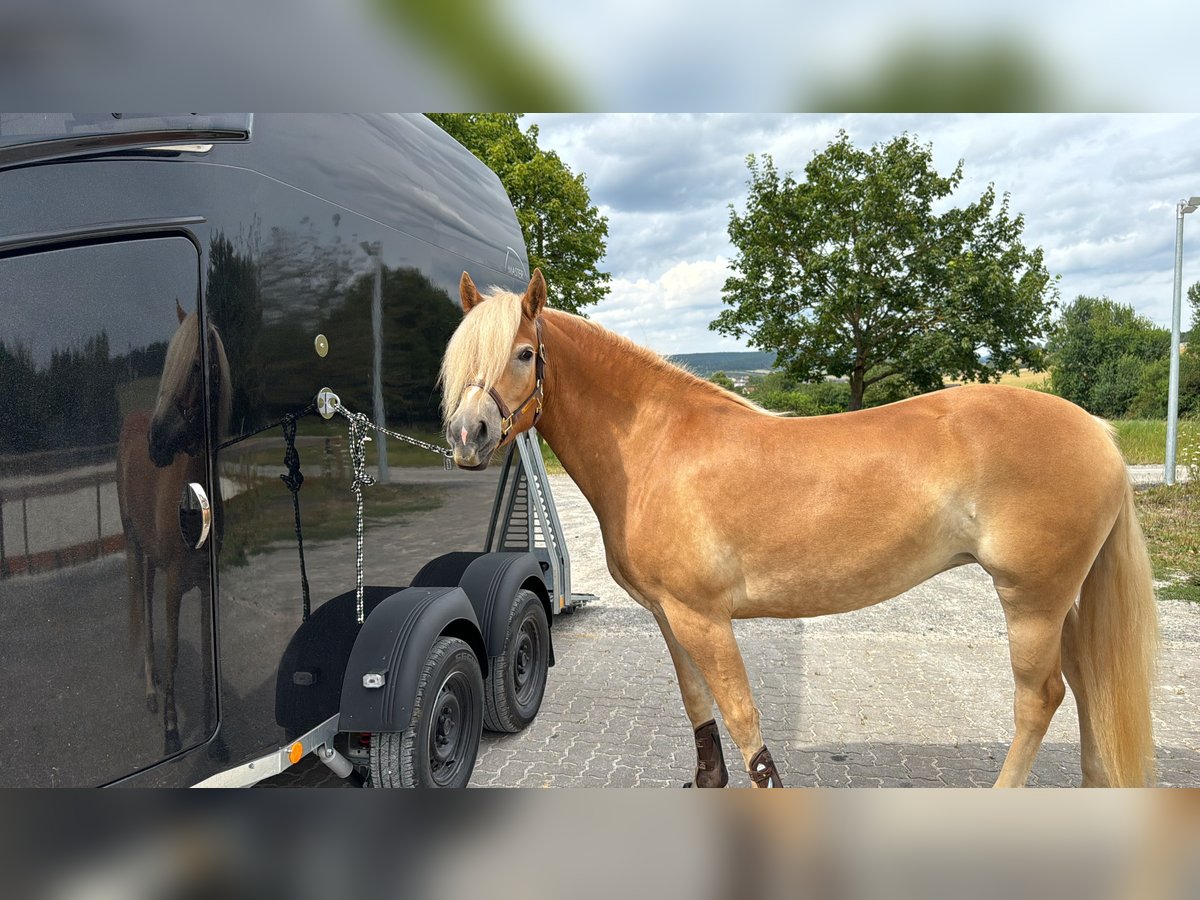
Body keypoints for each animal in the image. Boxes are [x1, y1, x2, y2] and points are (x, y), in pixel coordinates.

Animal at [117, 301, 231, 753]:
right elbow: (174, 655)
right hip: (135, 548)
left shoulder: (205, 582)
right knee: (145, 612)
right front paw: (170, 732)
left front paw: (217, 741)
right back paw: (151, 691)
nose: (157, 443)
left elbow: (207, 657)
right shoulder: (174, 584)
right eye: (167, 364)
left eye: (197, 364)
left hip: (150, 555)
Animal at [441, 273, 1161, 787]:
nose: (467, 436)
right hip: (1063, 602)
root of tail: (1097, 431)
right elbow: (697, 705)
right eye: (458, 359)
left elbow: (741, 717)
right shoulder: (670, 616)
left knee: (1040, 699)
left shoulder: (705, 618)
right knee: (1088, 689)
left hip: (1031, 600)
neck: (654, 444)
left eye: (524, 352)